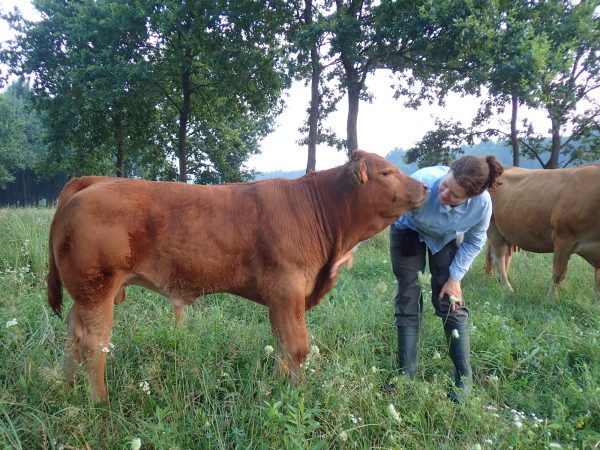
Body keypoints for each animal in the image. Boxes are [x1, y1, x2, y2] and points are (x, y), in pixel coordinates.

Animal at [47, 149, 426, 400]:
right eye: (387, 173)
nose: (424, 187)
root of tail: (93, 182)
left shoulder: (280, 299)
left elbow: (282, 345)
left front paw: (277, 387)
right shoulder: (288, 288)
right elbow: (298, 347)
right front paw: (296, 396)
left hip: (87, 293)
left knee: (73, 334)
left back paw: (69, 389)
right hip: (98, 286)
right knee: (94, 344)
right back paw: (100, 402)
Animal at [486, 163, 600, 298]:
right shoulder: (564, 237)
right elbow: (558, 274)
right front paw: (550, 298)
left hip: (507, 233)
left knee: (506, 257)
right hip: (492, 227)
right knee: (498, 258)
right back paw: (507, 288)